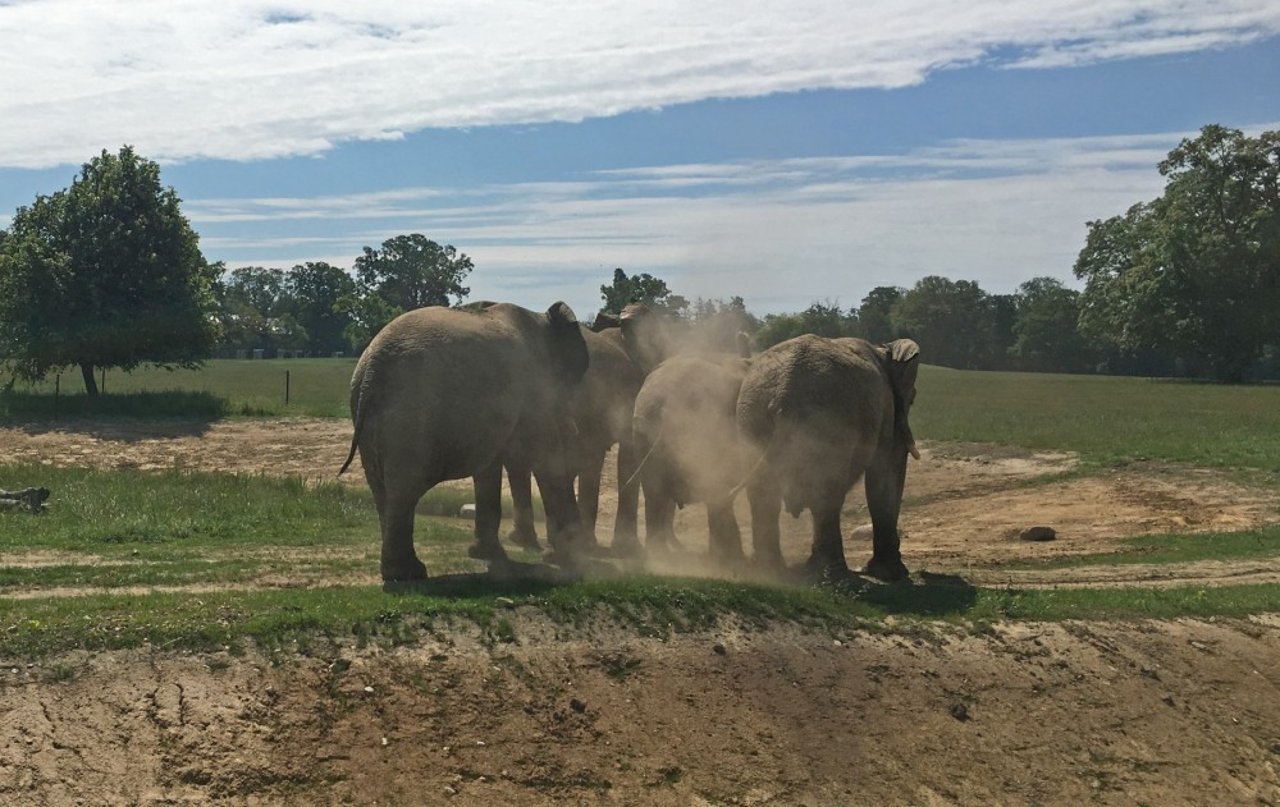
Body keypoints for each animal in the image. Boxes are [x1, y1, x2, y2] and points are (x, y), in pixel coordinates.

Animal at [335, 303, 586, 581]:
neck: (540, 317)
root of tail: (372, 371)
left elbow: (490, 469)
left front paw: (486, 554)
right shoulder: (535, 388)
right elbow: (547, 458)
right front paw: (567, 561)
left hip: (370, 418)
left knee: (383, 490)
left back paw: (398, 572)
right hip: (411, 416)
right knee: (403, 488)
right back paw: (409, 573)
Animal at [732, 335, 921, 581]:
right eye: (912, 400)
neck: (883, 349)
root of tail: (784, 393)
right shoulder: (887, 412)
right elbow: (884, 474)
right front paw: (892, 575)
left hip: (751, 416)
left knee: (763, 492)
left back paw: (769, 571)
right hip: (830, 419)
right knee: (826, 494)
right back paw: (834, 576)